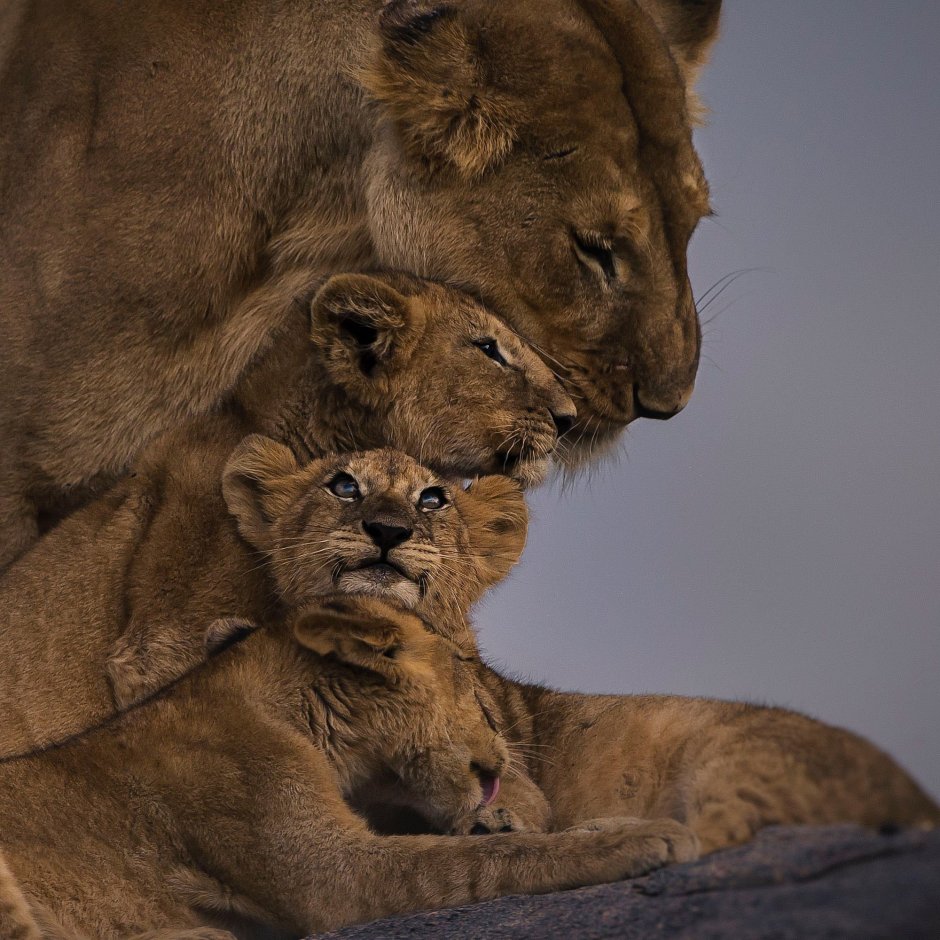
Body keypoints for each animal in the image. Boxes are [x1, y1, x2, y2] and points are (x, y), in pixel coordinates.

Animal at [0, 599, 699, 940]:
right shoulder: (330, 873)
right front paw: (645, 837)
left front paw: (598, 825)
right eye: (468, 678)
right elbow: (474, 861)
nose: (505, 752)